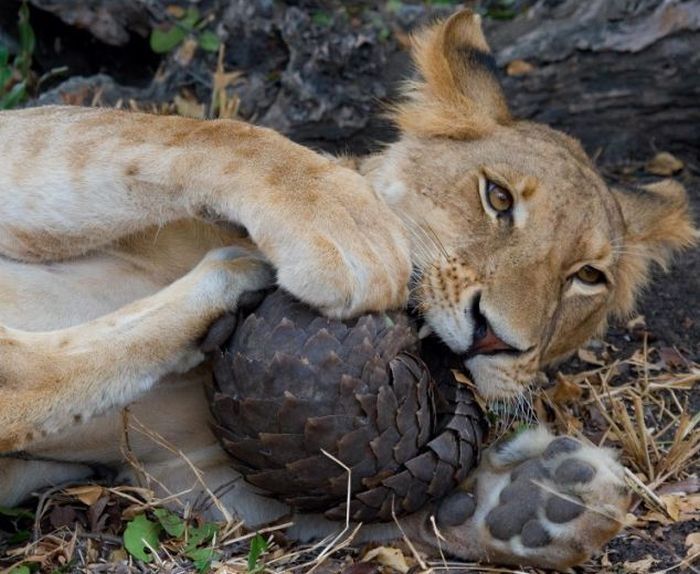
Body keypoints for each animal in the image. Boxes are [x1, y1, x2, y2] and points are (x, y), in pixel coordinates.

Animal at [0, 9, 696, 572]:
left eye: (587, 277)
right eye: (496, 198)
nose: (494, 339)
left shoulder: (192, 474)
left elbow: (353, 503)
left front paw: (537, 499)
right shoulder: (24, 135)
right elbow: (200, 133)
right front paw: (343, 220)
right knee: (21, 376)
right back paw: (235, 280)